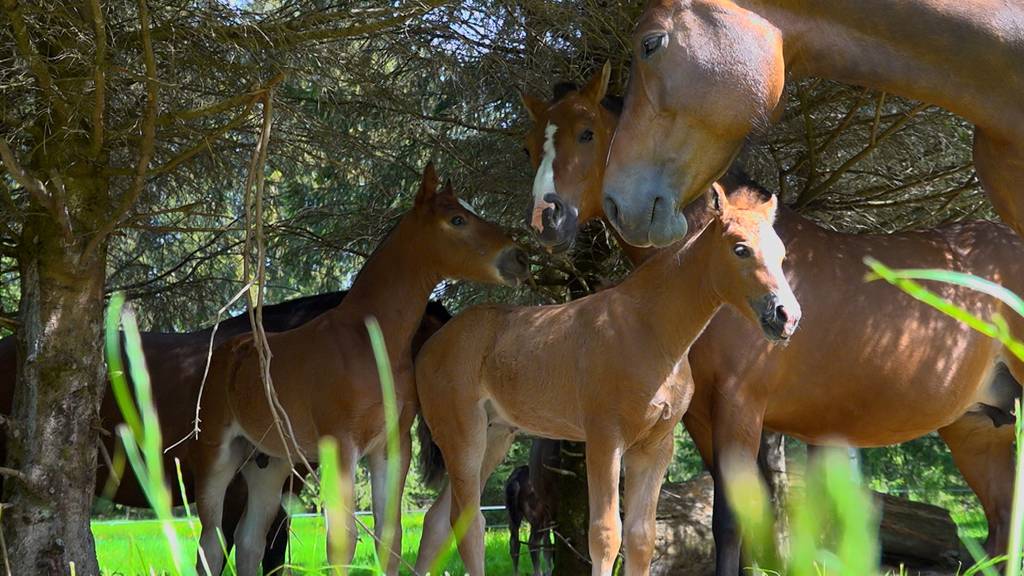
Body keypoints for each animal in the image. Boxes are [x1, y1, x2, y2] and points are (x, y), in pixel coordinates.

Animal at [192, 162, 532, 573]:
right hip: (218, 455)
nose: (520, 258)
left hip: (270, 463)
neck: (370, 343)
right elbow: (343, 540)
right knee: (210, 542)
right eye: (457, 219)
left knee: (249, 539)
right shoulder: (340, 444)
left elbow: (390, 535)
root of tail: (226, 352)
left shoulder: (391, 446)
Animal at [415, 184, 798, 573]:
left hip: (494, 436)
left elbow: (641, 538)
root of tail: (431, 345)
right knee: (468, 523)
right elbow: (605, 535)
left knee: (437, 521)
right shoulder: (604, 440)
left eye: (782, 255)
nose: (787, 316)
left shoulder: (653, 447)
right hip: (464, 435)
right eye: (740, 248)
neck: (650, 331)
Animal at [520, 73, 1024, 569]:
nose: (548, 218)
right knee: (1002, 526)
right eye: (529, 146)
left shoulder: (740, 405)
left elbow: (729, 520)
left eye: (586, 133)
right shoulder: (700, 416)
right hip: (979, 428)